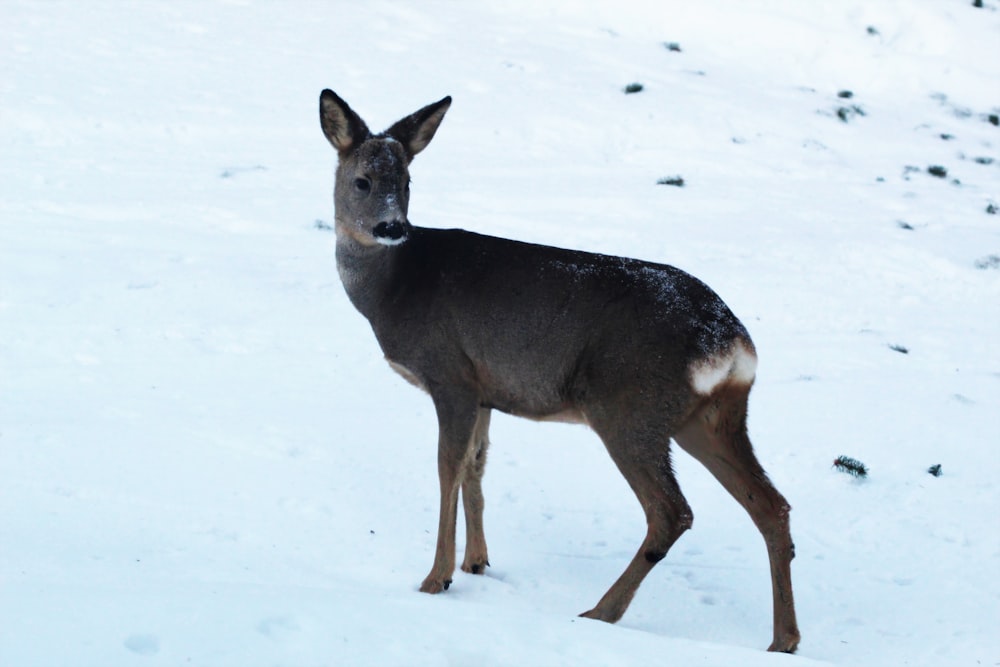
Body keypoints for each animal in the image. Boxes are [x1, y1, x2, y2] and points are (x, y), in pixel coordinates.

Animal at [320, 87, 804, 652]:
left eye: (407, 182)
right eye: (363, 180)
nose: (392, 227)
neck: (392, 288)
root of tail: (728, 339)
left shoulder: (450, 374)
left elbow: (447, 466)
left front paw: (436, 578)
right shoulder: (486, 389)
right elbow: (476, 465)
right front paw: (476, 562)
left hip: (629, 406)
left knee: (672, 511)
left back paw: (602, 612)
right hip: (710, 416)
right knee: (771, 505)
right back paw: (783, 640)